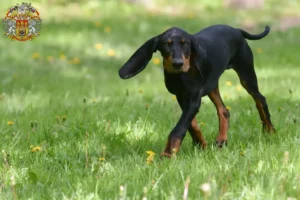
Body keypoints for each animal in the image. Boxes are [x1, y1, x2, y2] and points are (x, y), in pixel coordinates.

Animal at [118, 24, 276, 157]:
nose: (178, 64)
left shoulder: (193, 99)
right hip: (212, 84)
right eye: (166, 44)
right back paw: (221, 140)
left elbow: (179, 128)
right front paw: (201, 145)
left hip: (246, 73)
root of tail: (236, 29)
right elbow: (191, 124)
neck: (180, 76)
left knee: (260, 99)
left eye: (185, 44)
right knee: (224, 110)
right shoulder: (181, 96)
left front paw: (168, 153)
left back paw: (270, 131)